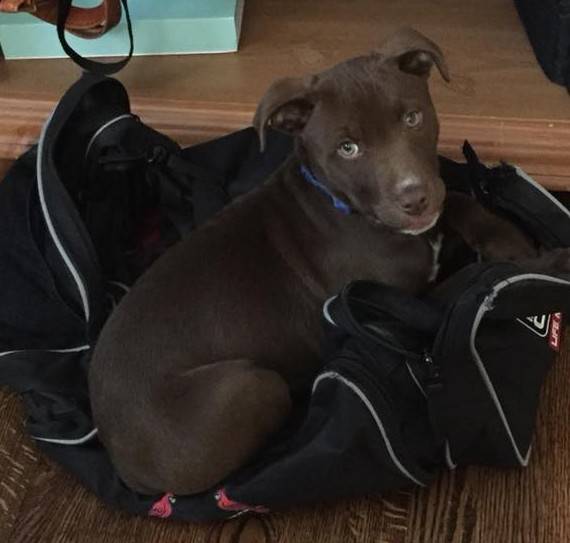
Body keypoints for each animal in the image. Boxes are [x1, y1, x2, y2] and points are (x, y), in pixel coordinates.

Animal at [87, 29, 536, 498]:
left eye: (413, 118)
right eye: (348, 148)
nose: (414, 199)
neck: (344, 206)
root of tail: (120, 458)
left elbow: (459, 201)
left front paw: (507, 239)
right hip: (254, 385)